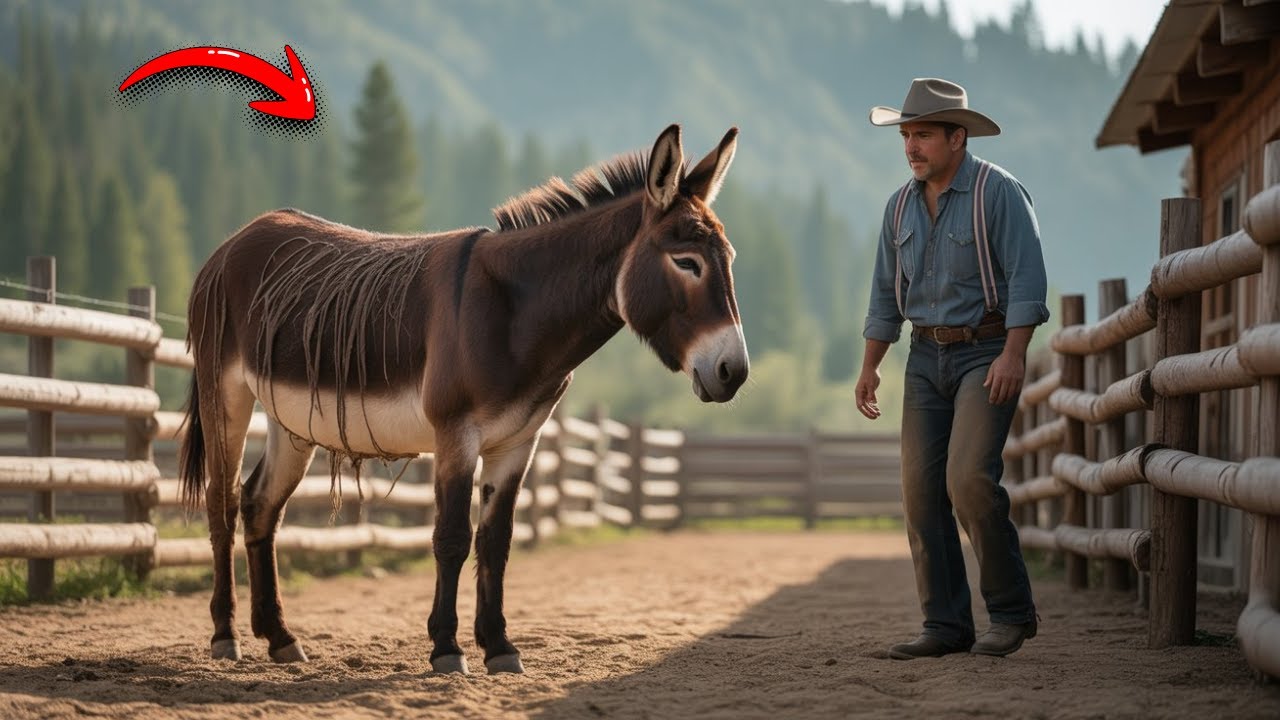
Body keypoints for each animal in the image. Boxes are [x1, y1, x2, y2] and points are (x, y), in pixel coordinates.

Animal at [179, 124, 748, 674]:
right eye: (686, 262)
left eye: (730, 260)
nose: (734, 373)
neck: (516, 313)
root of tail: (237, 239)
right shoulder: (456, 434)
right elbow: (451, 536)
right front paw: (447, 648)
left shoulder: (519, 441)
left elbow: (496, 541)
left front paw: (499, 647)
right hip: (225, 395)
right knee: (222, 503)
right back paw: (225, 636)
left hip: (292, 421)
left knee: (260, 505)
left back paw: (280, 638)